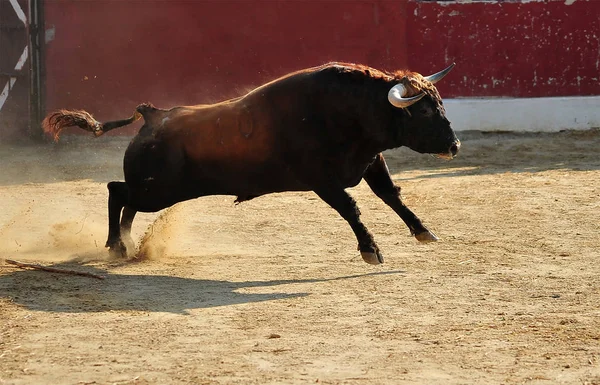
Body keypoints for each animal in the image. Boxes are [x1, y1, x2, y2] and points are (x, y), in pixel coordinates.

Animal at [43, 62, 460, 264]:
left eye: (440, 102)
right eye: (423, 111)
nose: (454, 145)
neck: (350, 111)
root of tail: (153, 115)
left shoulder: (371, 161)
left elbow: (392, 195)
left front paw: (423, 231)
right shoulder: (322, 180)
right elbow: (351, 208)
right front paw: (370, 250)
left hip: (155, 190)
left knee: (125, 200)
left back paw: (127, 244)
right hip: (157, 190)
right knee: (117, 192)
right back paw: (115, 245)